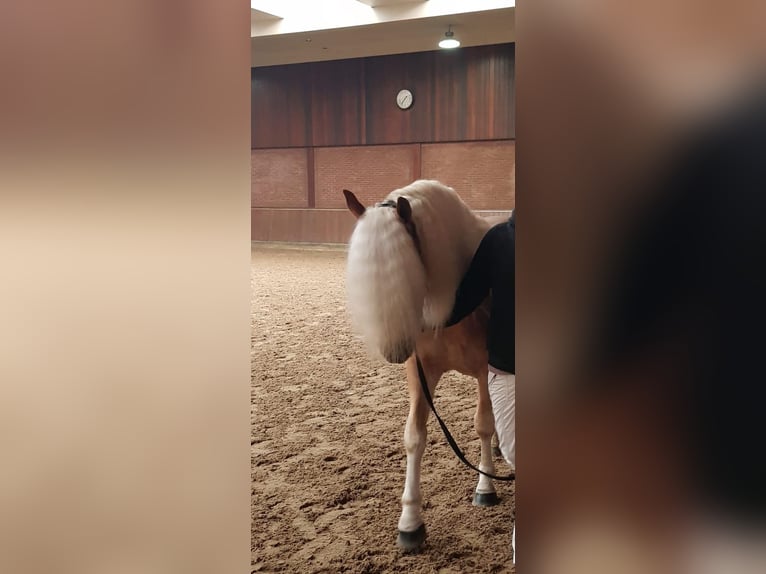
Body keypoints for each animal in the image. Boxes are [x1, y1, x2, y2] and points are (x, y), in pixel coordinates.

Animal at [342, 179, 508, 552]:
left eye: (405, 268)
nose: (394, 349)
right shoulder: (421, 375)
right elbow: (415, 437)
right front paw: (410, 522)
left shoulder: (485, 371)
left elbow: (483, 424)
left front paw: (485, 488)